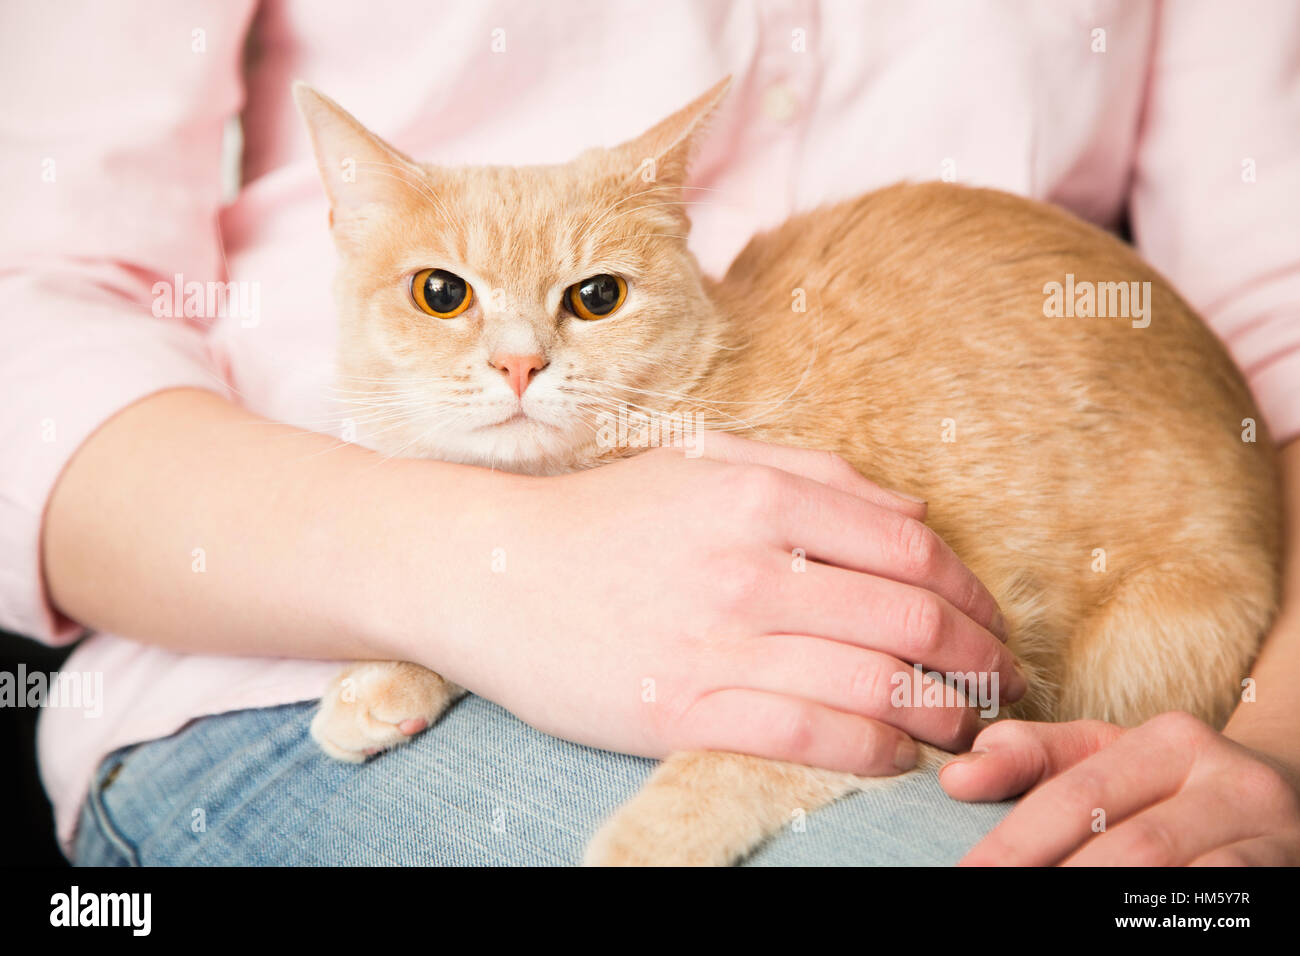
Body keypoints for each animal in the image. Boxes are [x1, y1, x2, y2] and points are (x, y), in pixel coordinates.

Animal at [292, 78, 1279, 863]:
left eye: (598, 296)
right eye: (441, 293)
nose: (519, 364)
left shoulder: (929, 668)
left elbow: (744, 757)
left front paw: (644, 843)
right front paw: (386, 676)